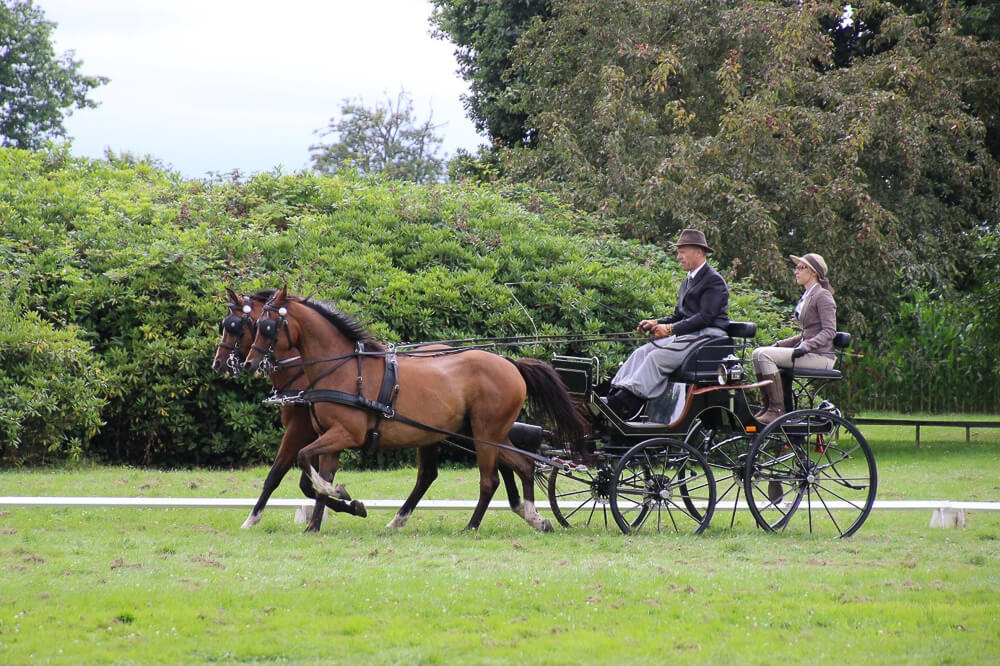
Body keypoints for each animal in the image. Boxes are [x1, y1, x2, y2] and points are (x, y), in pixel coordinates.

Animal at [240, 288, 584, 532]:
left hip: (485, 433)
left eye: (267, 326)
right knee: (522, 466)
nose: (249, 364)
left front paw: (340, 493)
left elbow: (304, 464)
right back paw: (534, 516)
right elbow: (311, 476)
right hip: (482, 434)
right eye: (252, 326)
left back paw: (471, 526)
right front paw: (321, 519)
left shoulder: (346, 434)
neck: (342, 369)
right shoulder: (331, 438)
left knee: (490, 480)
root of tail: (510, 364)